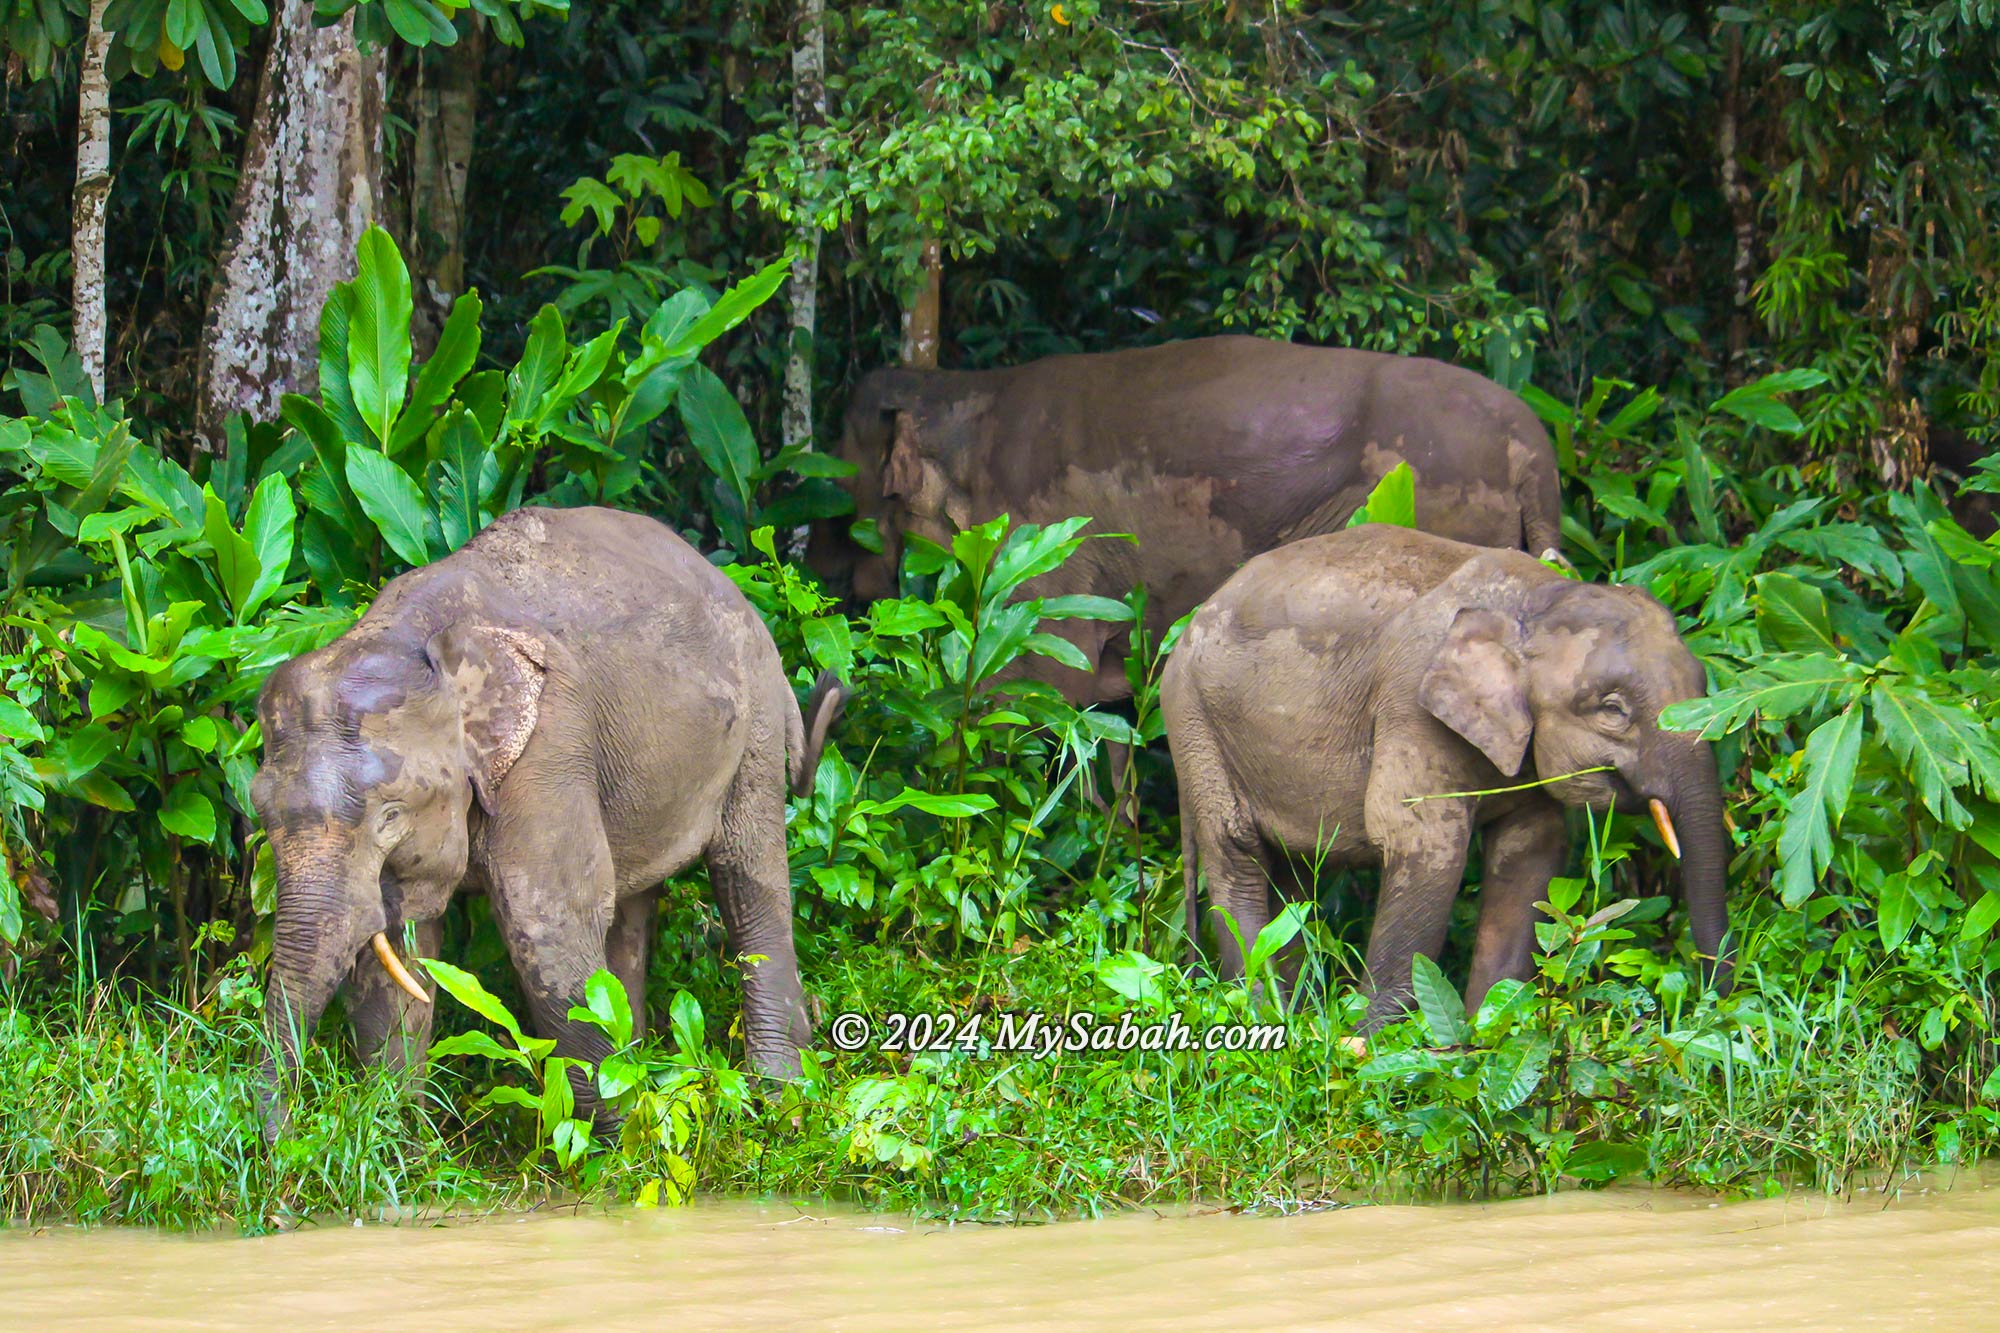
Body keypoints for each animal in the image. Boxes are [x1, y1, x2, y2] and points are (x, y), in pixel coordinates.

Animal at [250, 504, 844, 1128]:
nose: (283, 1134)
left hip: (755, 729)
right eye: (259, 808)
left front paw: (619, 1144)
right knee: (631, 903)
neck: (413, 637)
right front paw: (403, 1137)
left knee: (746, 877)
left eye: (390, 816)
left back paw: (782, 1101)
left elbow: (548, 921)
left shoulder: (548, 744)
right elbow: (400, 952)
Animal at [1168, 520, 1728, 1024]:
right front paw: (1372, 1049)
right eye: (1613, 709)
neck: (1535, 598)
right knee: (1237, 855)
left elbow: (1530, 849)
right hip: (1196, 730)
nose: (1710, 1008)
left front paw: (1481, 1037)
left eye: (1704, 684)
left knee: (1293, 876)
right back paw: (1268, 1019)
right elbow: (1424, 844)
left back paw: (1300, 1016)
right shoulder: (1410, 705)